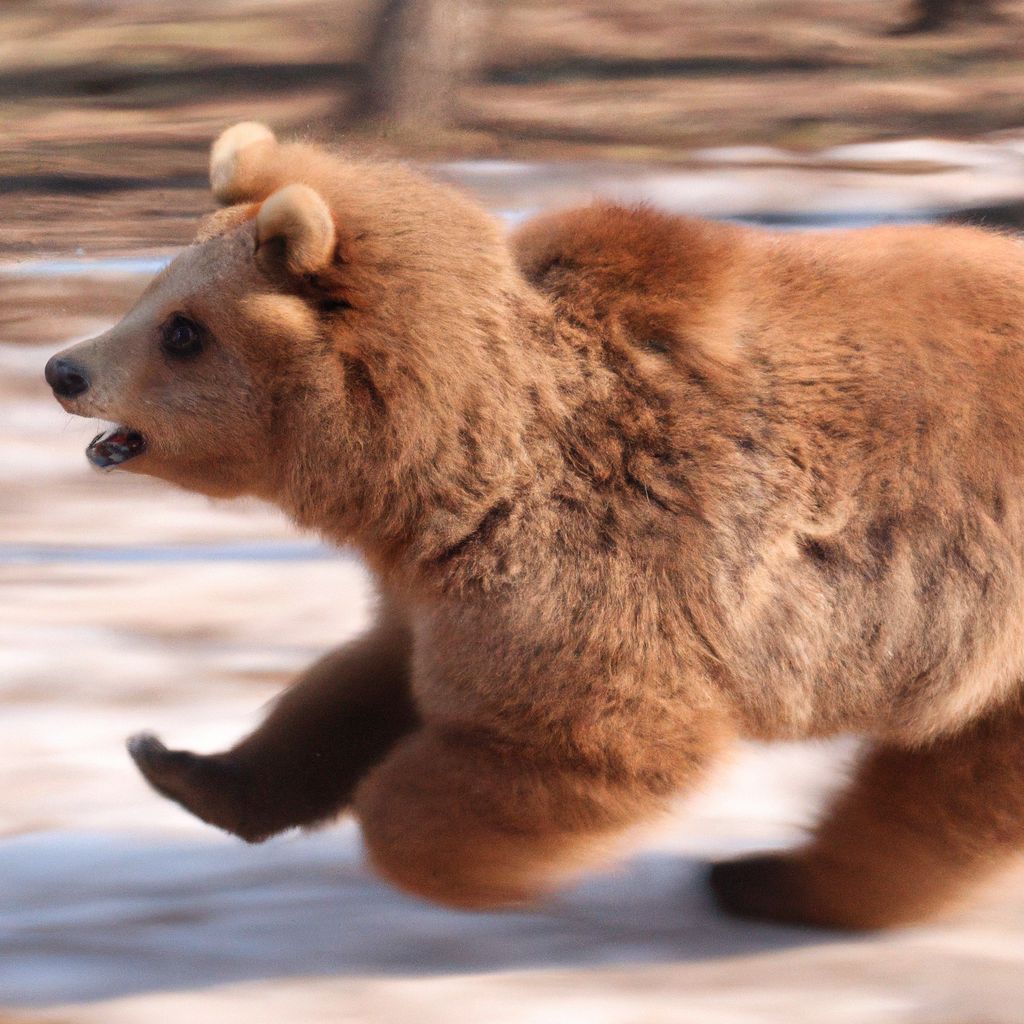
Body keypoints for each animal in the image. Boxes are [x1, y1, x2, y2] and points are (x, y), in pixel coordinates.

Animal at [44, 121, 1024, 929]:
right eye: (154, 289)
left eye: (183, 331)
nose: (62, 369)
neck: (434, 469)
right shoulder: (442, 579)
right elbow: (365, 681)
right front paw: (181, 762)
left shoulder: (599, 563)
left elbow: (590, 742)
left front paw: (415, 828)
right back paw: (771, 880)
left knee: (951, 791)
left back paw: (768, 881)